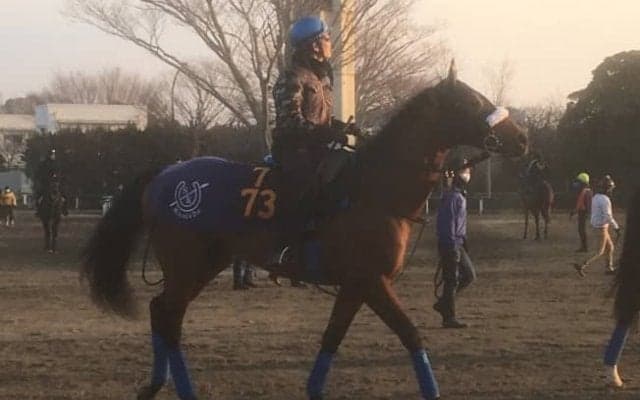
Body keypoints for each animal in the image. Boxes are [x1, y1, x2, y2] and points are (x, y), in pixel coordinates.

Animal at [81, 63, 528, 400]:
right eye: (473, 101)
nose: (522, 138)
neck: (374, 188)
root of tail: (167, 173)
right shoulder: (372, 281)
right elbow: (410, 333)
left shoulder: (355, 285)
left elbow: (332, 336)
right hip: (188, 265)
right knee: (169, 317)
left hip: (203, 265)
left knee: (162, 312)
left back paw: (157, 384)